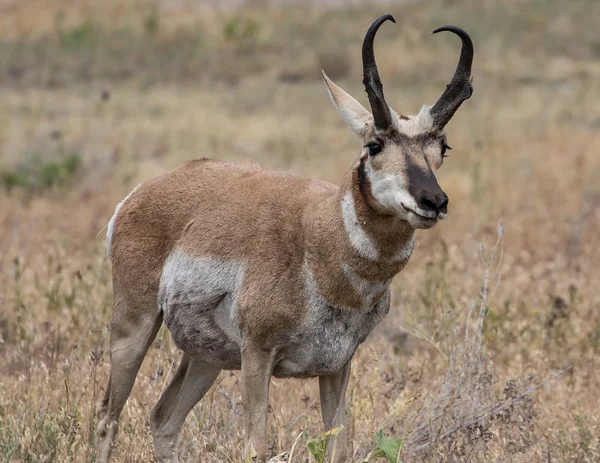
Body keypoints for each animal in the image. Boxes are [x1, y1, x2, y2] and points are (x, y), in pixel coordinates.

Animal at [97, 14, 474, 463]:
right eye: (374, 144)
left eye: (443, 147)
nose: (434, 201)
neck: (318, 240)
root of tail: (141, 192)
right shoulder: (258, 356)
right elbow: (255, 448)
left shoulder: (337, 366)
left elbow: (339, 448)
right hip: (134, 328)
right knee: (108, 419)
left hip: (205, 358)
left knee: (163, 419)